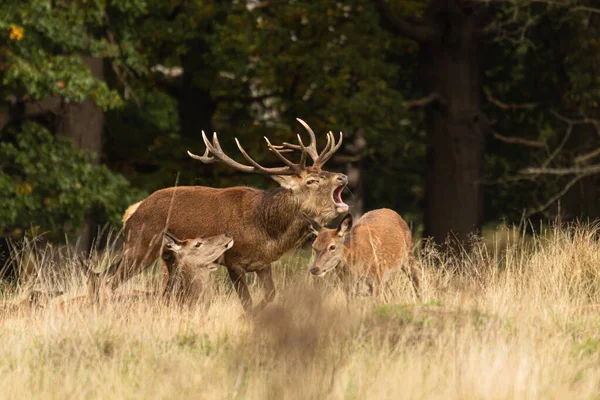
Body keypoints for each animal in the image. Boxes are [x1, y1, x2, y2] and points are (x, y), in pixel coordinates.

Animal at [99, 119, 346, 312]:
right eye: (311, 181)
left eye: (325, 172)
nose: (342, 177)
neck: (267, 233)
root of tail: (132, 211)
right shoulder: (233, 261)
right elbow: (247, 302)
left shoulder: (263, 263)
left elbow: (270, 295)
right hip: (141, 247)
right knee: (109, 280)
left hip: (162, 255)